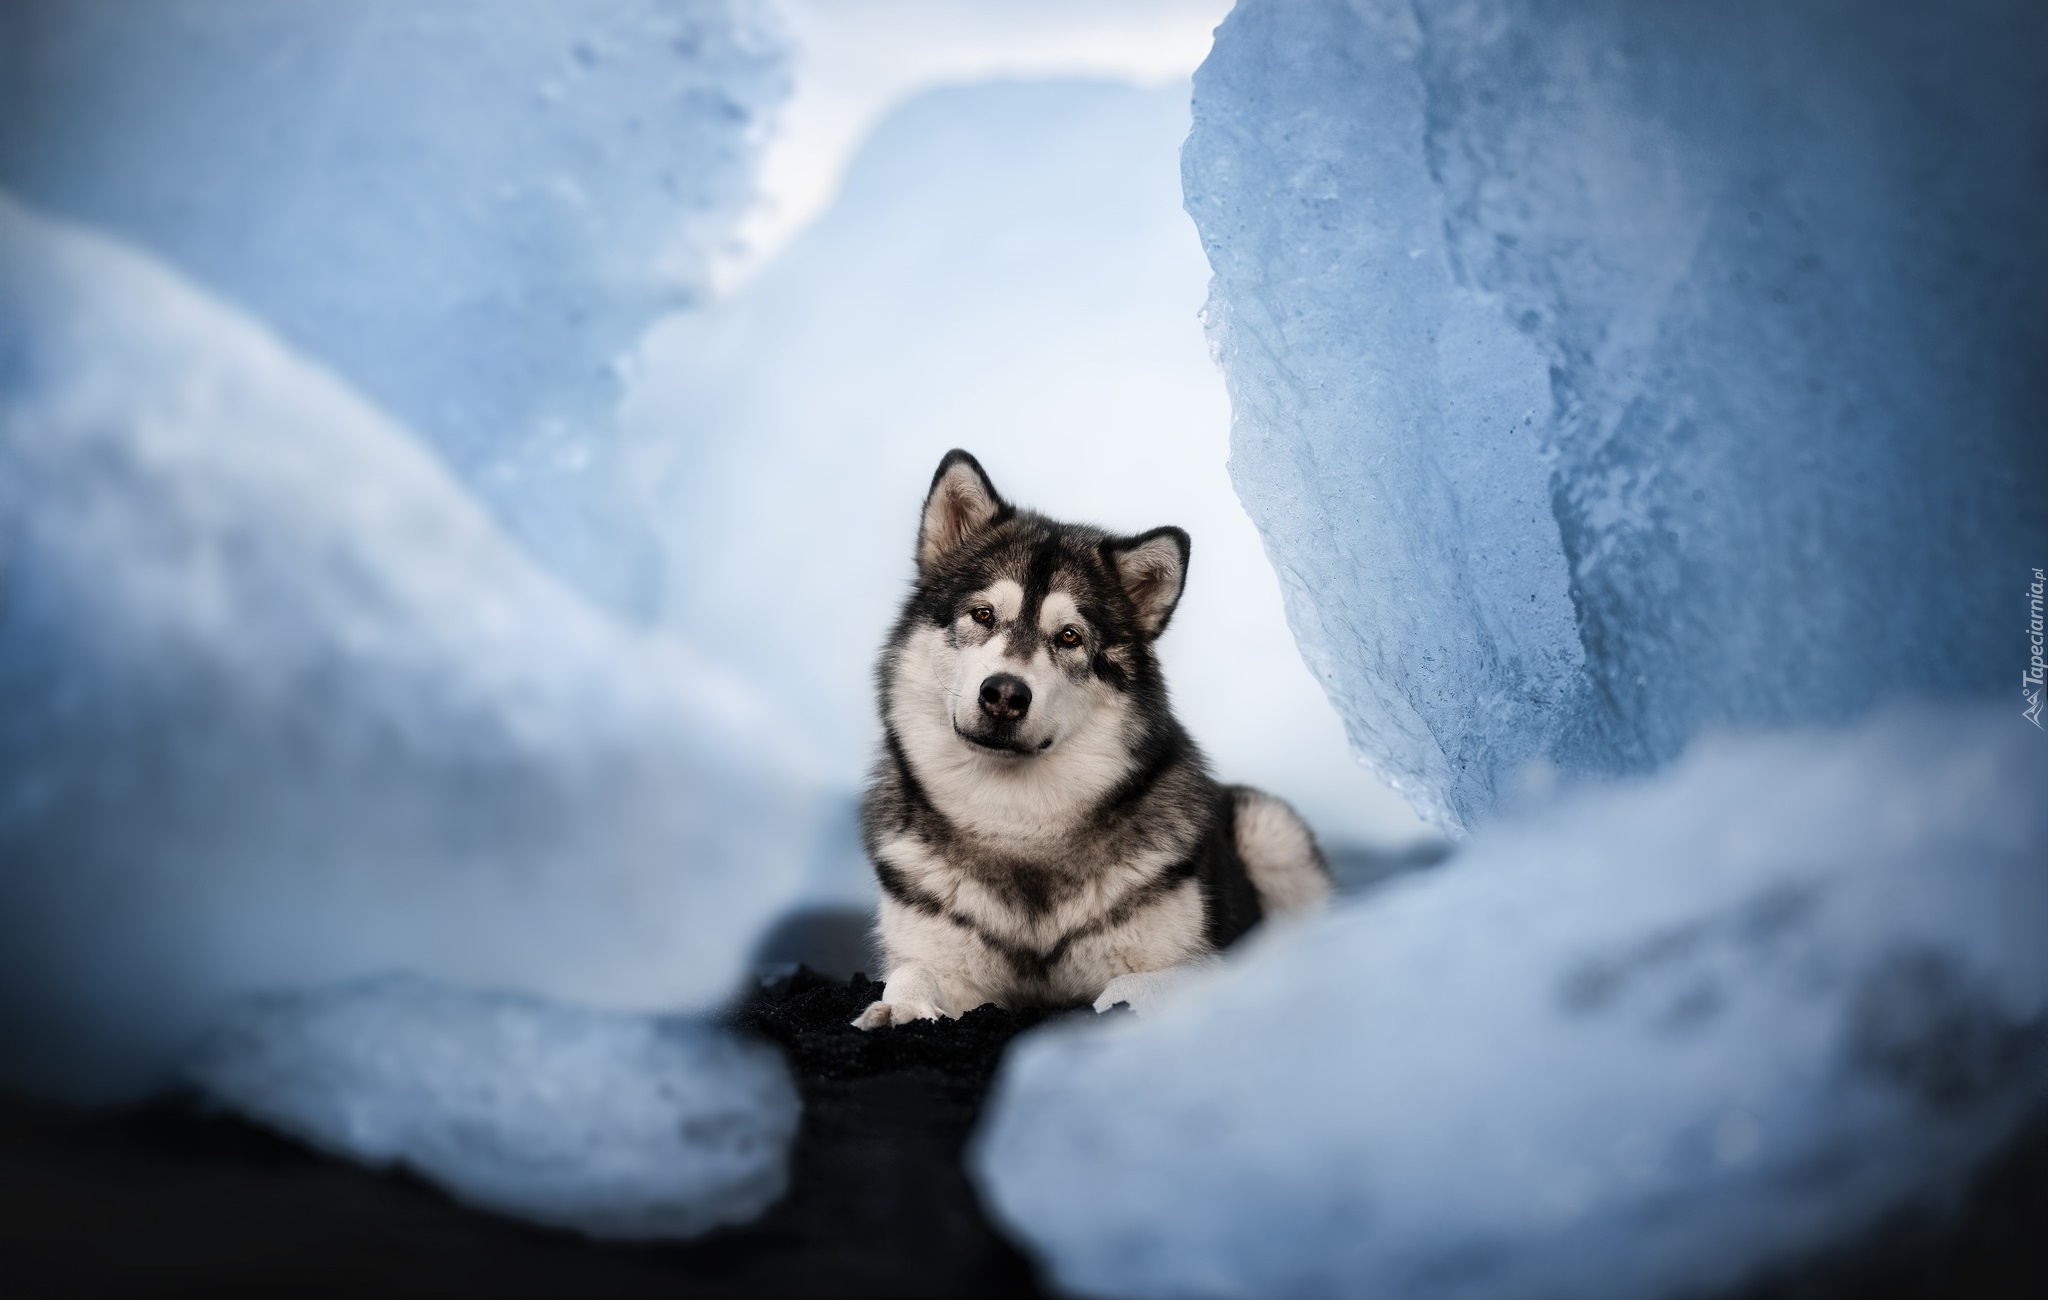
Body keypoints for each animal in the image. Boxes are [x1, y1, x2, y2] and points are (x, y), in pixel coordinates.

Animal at [847, 448, 1327, 1027]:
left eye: (1070, 637)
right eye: (983, 614)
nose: (1004, 694)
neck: (1017, 823)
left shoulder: (1191, 963)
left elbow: (1126, 987)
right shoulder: (942, 959)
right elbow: (914, 972)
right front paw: (899, 1008)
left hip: (1274, 831)